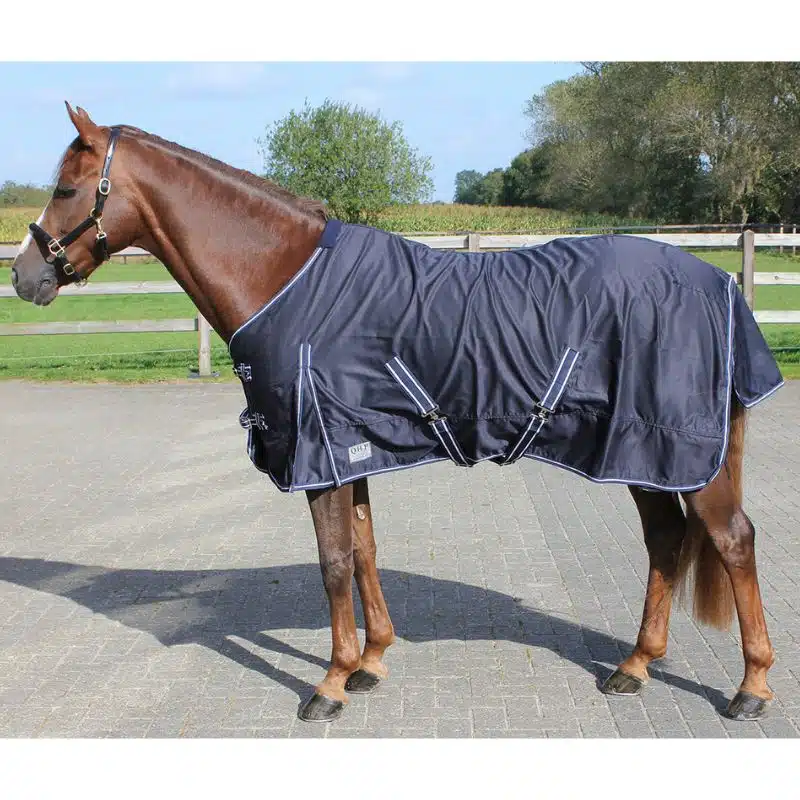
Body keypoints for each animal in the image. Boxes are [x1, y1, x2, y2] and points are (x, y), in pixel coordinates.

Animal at [10, 103, 782, 725]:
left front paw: (329, 683)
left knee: (733, 541)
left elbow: (331, 564)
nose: (24, 275)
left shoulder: (316, 456)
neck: (287, 278)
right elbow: (363, 551)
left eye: (67, 188)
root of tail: (718, 281)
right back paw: (634, 667)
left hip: (678, 453)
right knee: (666, 542)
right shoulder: (350, 450)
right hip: (641, 453)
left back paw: (750, 688)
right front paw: (371, 661)